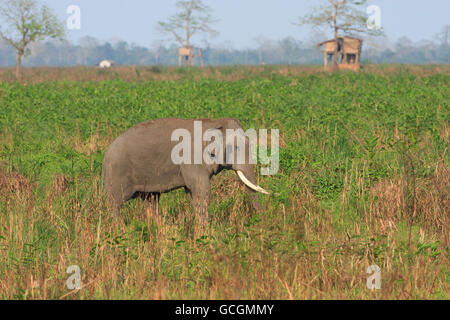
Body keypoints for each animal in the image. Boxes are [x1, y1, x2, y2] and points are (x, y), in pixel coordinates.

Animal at [102, 116, 268, 226]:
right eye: (236, 147)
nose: (262, 221)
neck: (213, 122)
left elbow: (193, 192)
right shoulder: (192, 159)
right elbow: (202, 189)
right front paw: (205, 232)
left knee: (152, 200)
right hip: (116, 173)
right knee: (115, 203)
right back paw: (120, 230)